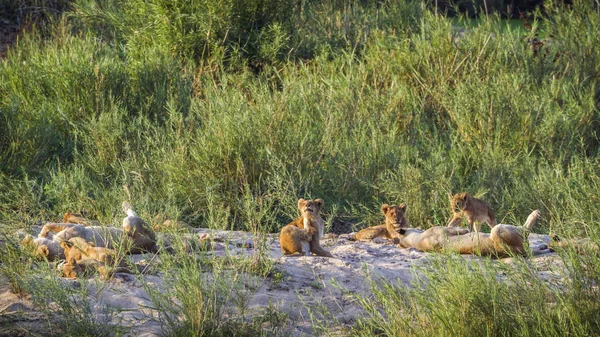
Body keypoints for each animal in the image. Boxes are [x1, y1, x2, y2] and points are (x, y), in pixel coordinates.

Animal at [396, 209, 540, 256]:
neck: (415, 240)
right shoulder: (441, 230)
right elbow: (458, 229)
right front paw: (466, 229)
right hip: (498, 230)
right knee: (525, 229)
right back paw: (535, 213)